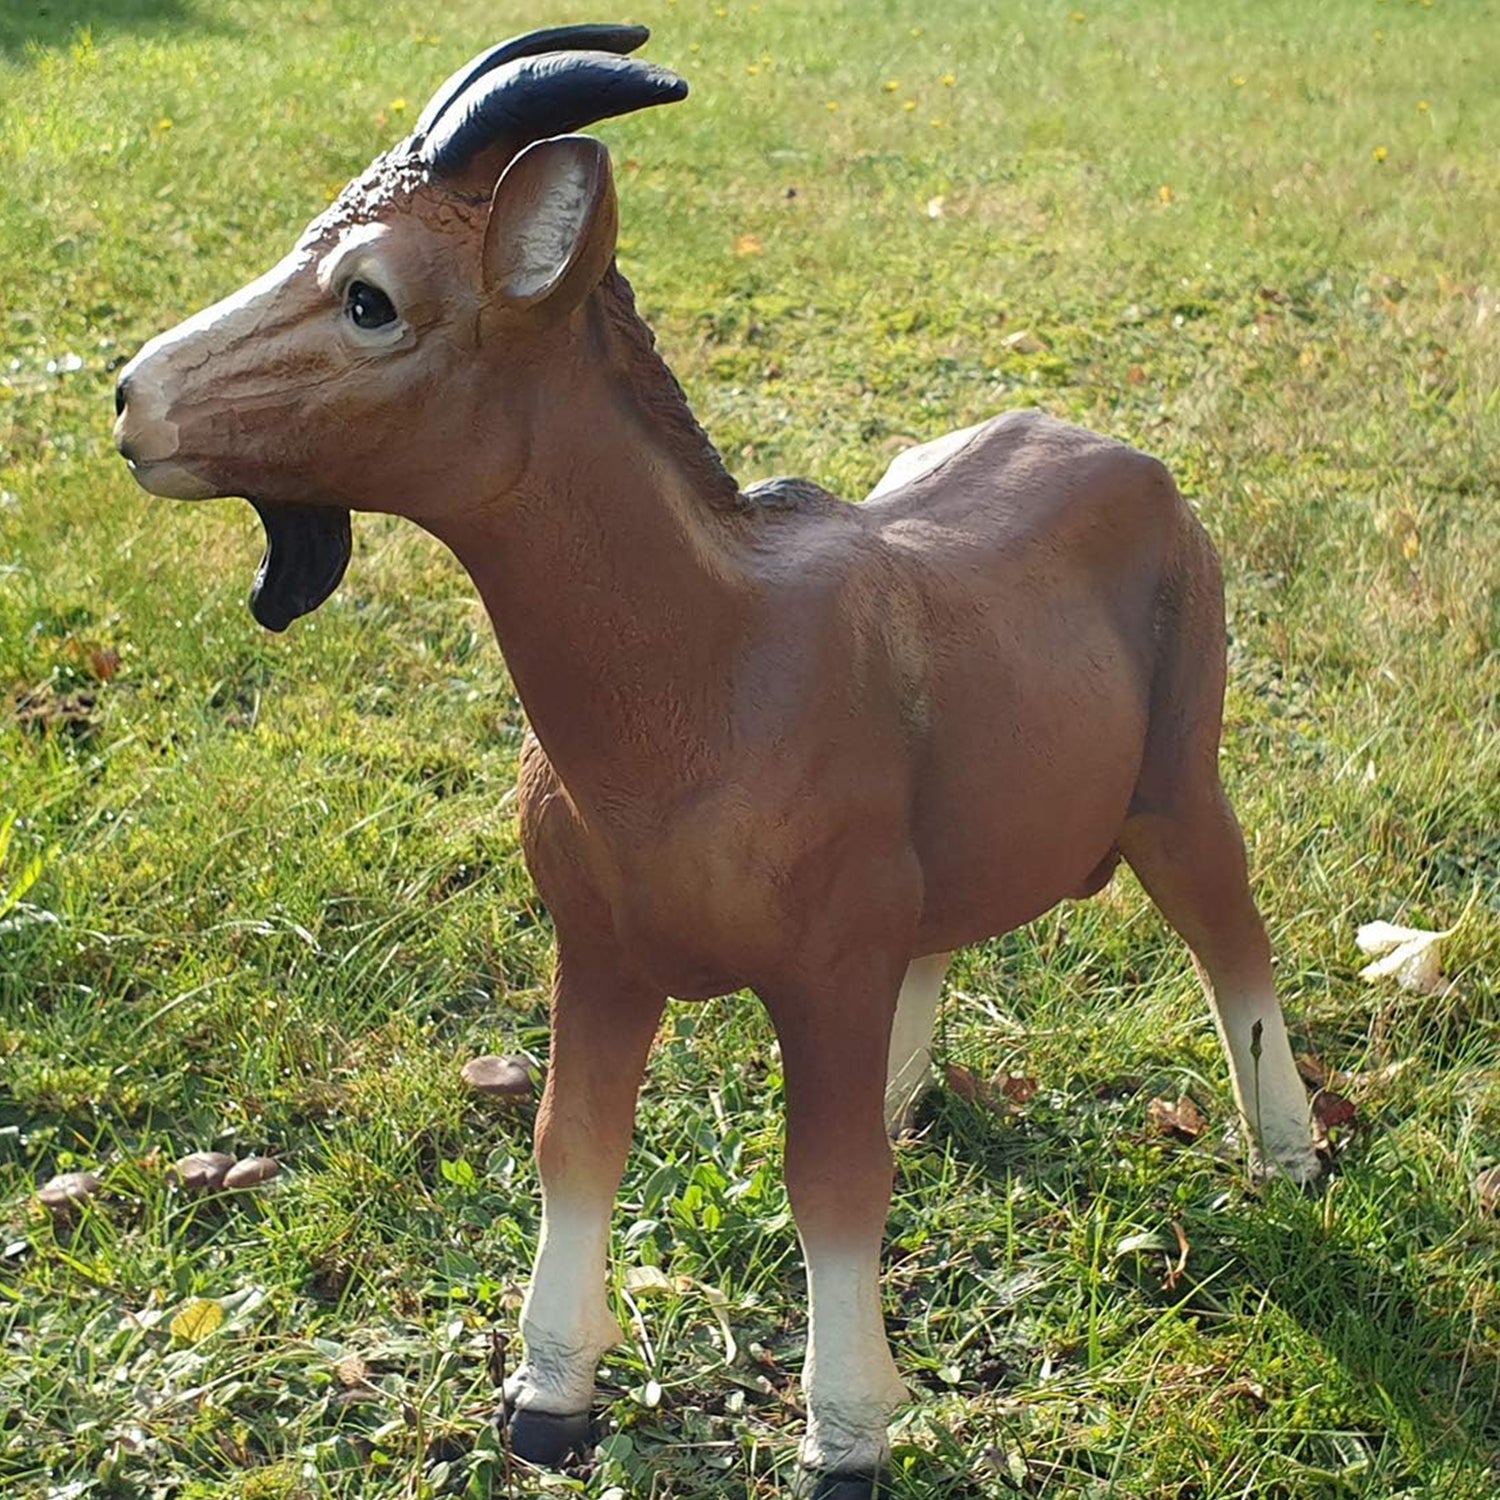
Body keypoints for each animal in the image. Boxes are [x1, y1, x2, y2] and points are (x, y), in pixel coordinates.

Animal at [114, 25, 1319, 1497]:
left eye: (371, 300)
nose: (134, 399)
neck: (702, 681)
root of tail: (1136, 466)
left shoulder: (825, 966)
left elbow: (832, 1186)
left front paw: (848, 1434)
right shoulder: (604, 953)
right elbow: (573, 1144)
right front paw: (548, 1399)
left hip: (1178, 781)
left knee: (1232, 936)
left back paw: (1288, 1157)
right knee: (945, 948)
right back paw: (910, 1095)